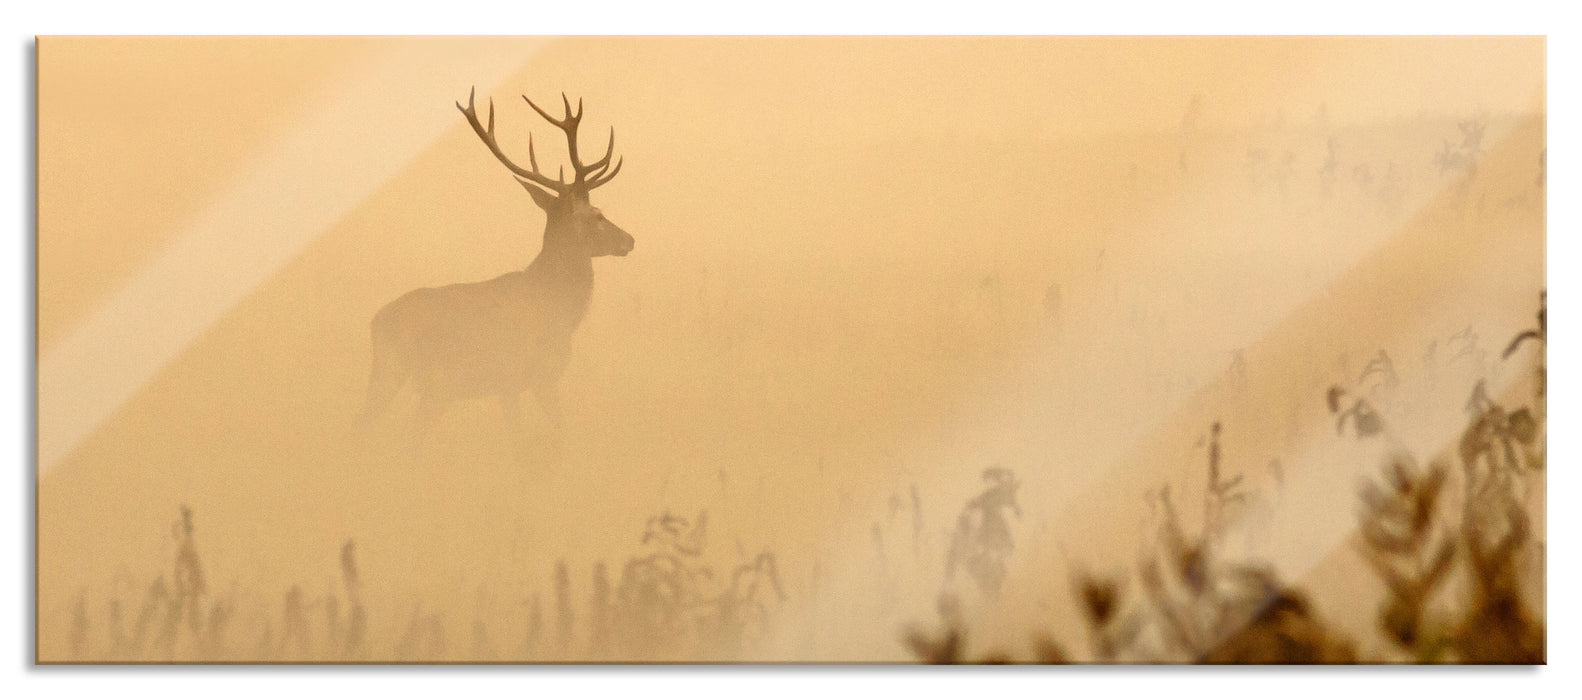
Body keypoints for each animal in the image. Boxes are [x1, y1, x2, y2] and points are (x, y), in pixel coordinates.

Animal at [361, 88, 633, 438]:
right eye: (597, 215)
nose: (629, 239)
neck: (557, 308)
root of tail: (375, 324)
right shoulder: (532, 375)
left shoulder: (513, 385)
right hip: (417, 377)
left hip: (406, 380)